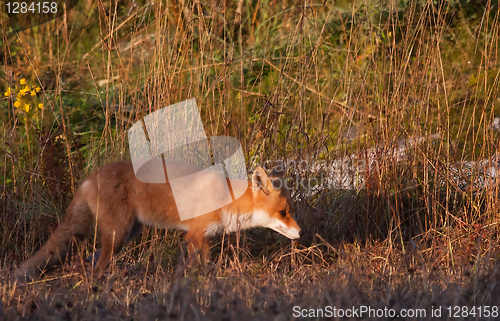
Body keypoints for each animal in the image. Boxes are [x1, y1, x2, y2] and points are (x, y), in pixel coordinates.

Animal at [16, 160, 300, 280]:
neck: (226, 199)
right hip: (118, 234)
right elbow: (199, 266)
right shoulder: (195, 234)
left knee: (93, 261)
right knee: (98, 267)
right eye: (283, 212)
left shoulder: (199, 238)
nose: (300, 232)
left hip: (127, 233)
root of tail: (90, 177)